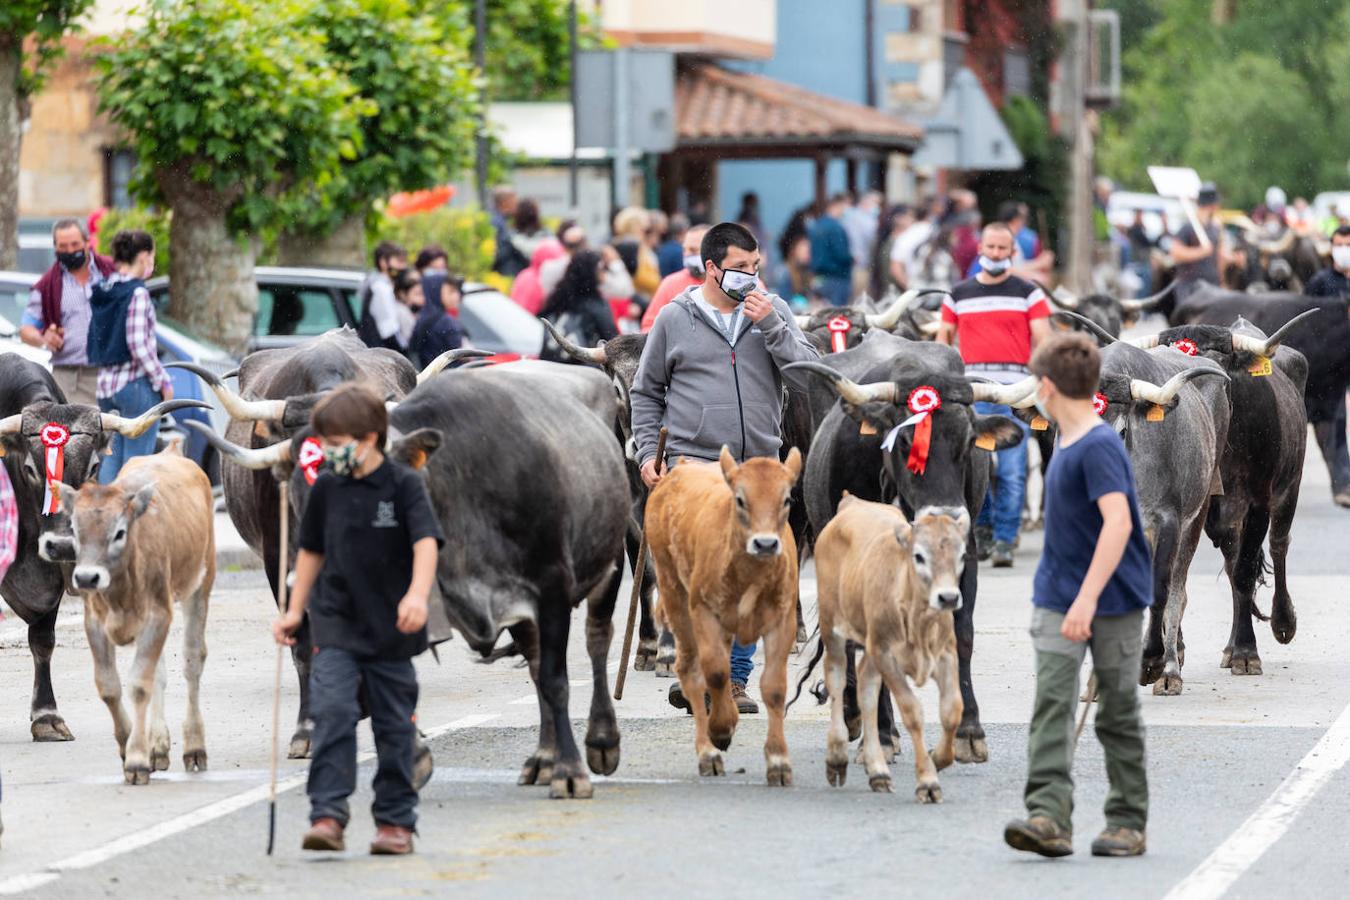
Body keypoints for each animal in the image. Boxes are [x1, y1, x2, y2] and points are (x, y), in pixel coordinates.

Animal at [61, 447, 216, 782]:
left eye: (119, 532)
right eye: (75, 530)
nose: (87, 578)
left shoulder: (158, 615)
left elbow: (139, 685)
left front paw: (135, 759)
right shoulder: (95, 622)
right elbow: (109, 686)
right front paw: (129, 744)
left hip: (201, 583)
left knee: (192, 662)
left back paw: (194, 747)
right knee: (160, 672)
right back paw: (158, 746)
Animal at [645, 447, 799, 782]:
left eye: (787, 499)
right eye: (740, 499)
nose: (765, 543)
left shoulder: (782, 621)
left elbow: (774, 687)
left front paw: (779, 760)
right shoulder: (704, 611)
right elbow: (714, 672)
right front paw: (721, 730)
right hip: (675, 595)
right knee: (692, 668)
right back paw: (708, 752)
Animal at [810, 499, 972, 804]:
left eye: (961, 555)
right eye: (919, 556)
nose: (948, 597)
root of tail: (852, 502)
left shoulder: (946, 655)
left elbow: (951, 710)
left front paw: (938, 757)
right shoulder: (886, 656)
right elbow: (912, 712)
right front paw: (927, 782)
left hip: (871, 649)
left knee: (867, 688)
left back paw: (878, 771)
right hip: (833, 628)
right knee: (837, 677)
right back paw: (837, 757)